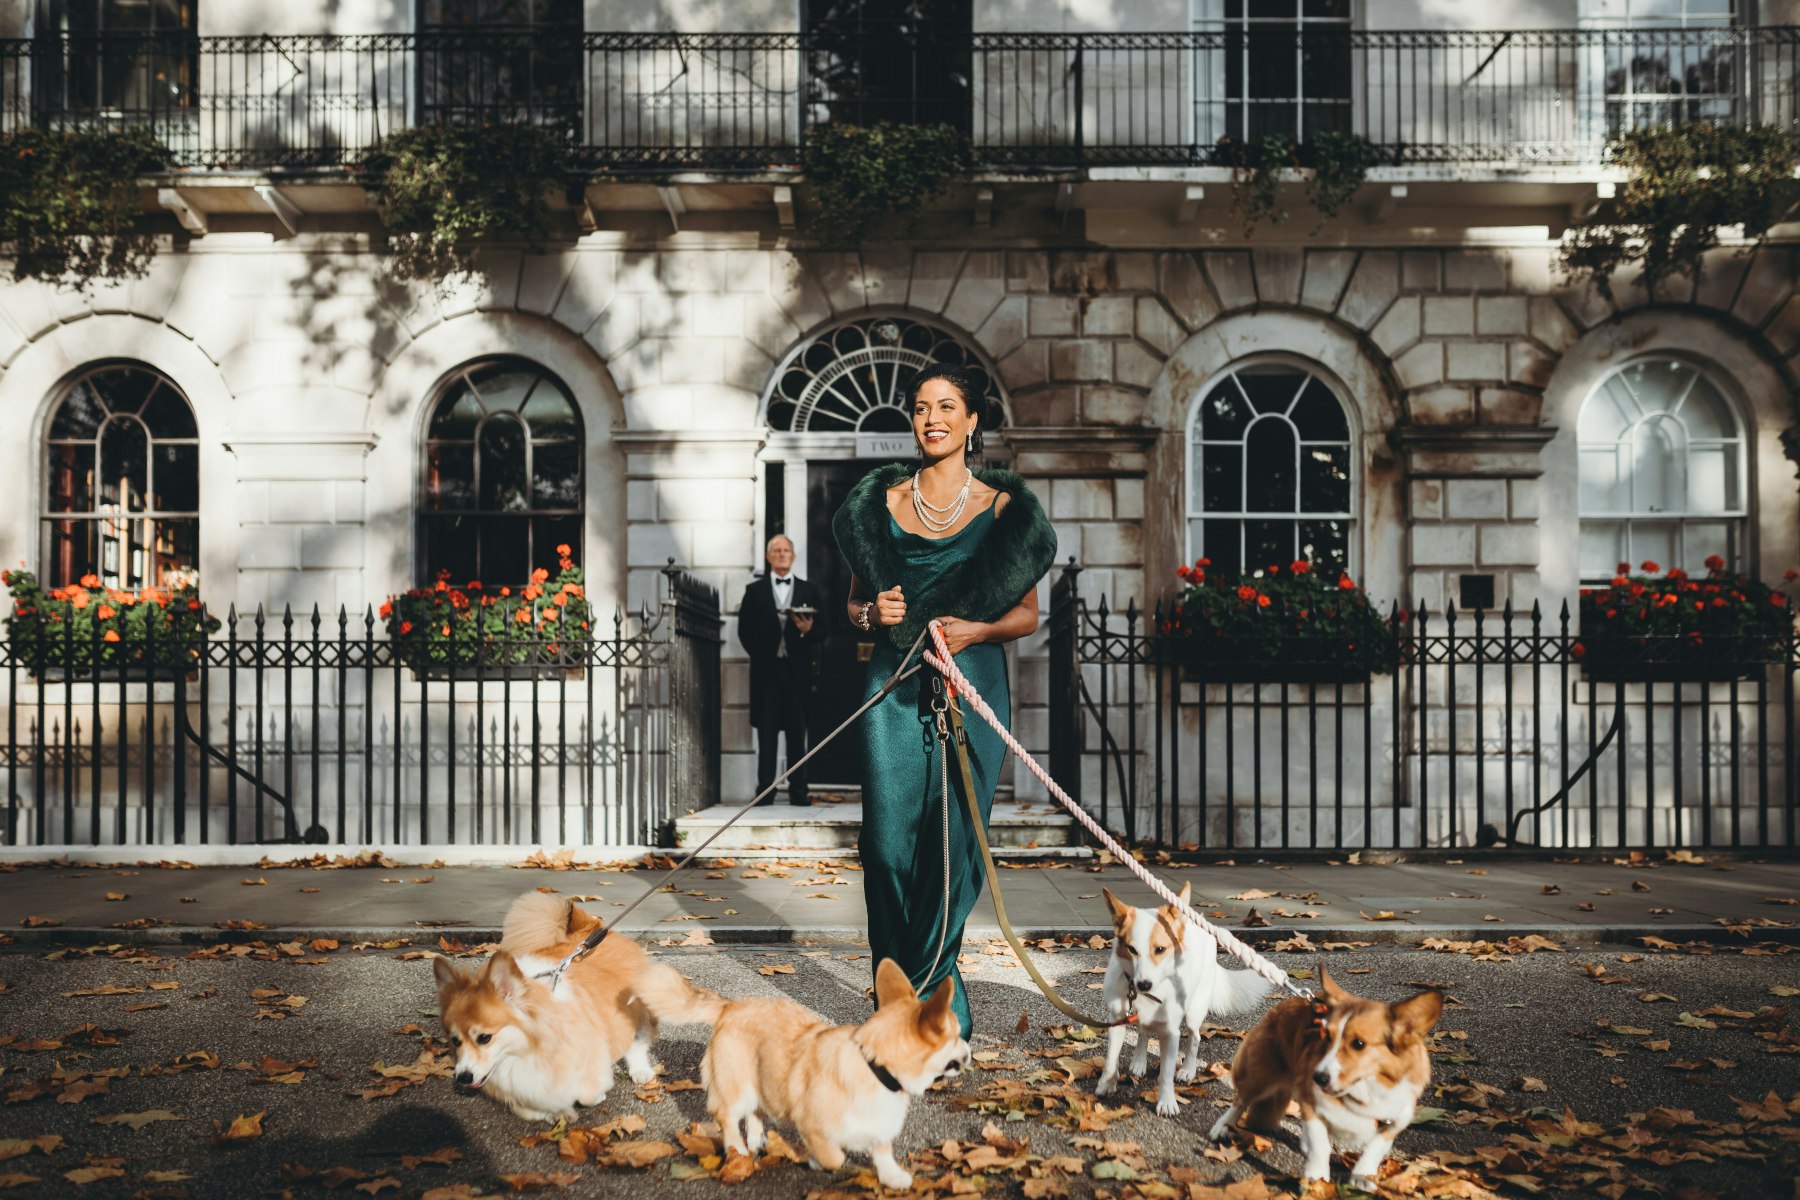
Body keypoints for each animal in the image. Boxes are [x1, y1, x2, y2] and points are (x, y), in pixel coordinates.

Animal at [1087, 881, 1274, 1115]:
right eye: (1131, 949)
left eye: (1160, 949)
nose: (1143, 984)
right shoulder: (1118, 1020)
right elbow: (1111, 1058)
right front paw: (1107, 1083)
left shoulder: (1171, 1032)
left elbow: (1166, 1072)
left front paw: (1167, 1101)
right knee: (1144, 1032)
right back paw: (1139, 1061)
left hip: (1195, 1010)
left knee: (1195, 1037)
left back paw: (1187, 1069)